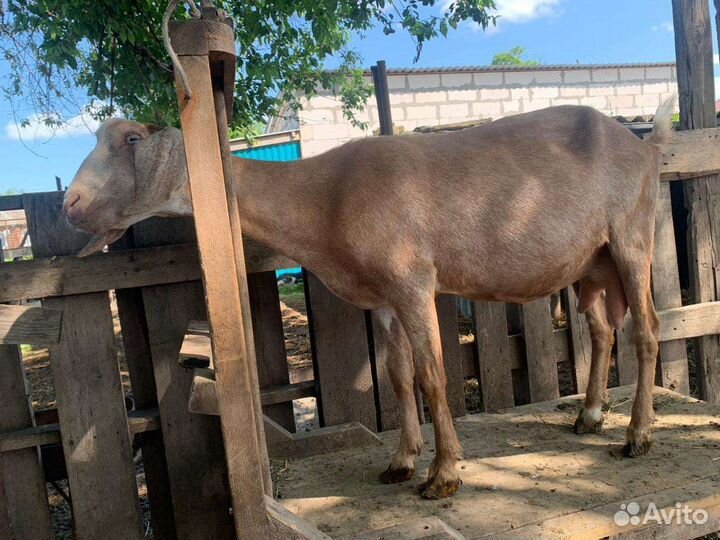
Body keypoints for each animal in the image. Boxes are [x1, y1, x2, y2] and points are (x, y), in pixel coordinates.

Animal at [64, 100, 674, 499]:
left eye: (132, 140)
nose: (71, 205)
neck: (325, 198)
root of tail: (645, 146)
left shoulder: (412, 280)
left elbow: (432, 375)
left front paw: (444, 475)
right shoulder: (380, 296)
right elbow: (399, 377)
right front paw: (401, 462)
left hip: (631, 236)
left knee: (646, 328)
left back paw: (637, 436)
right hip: (590, 263)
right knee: (601, 328)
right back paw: (590, 416)